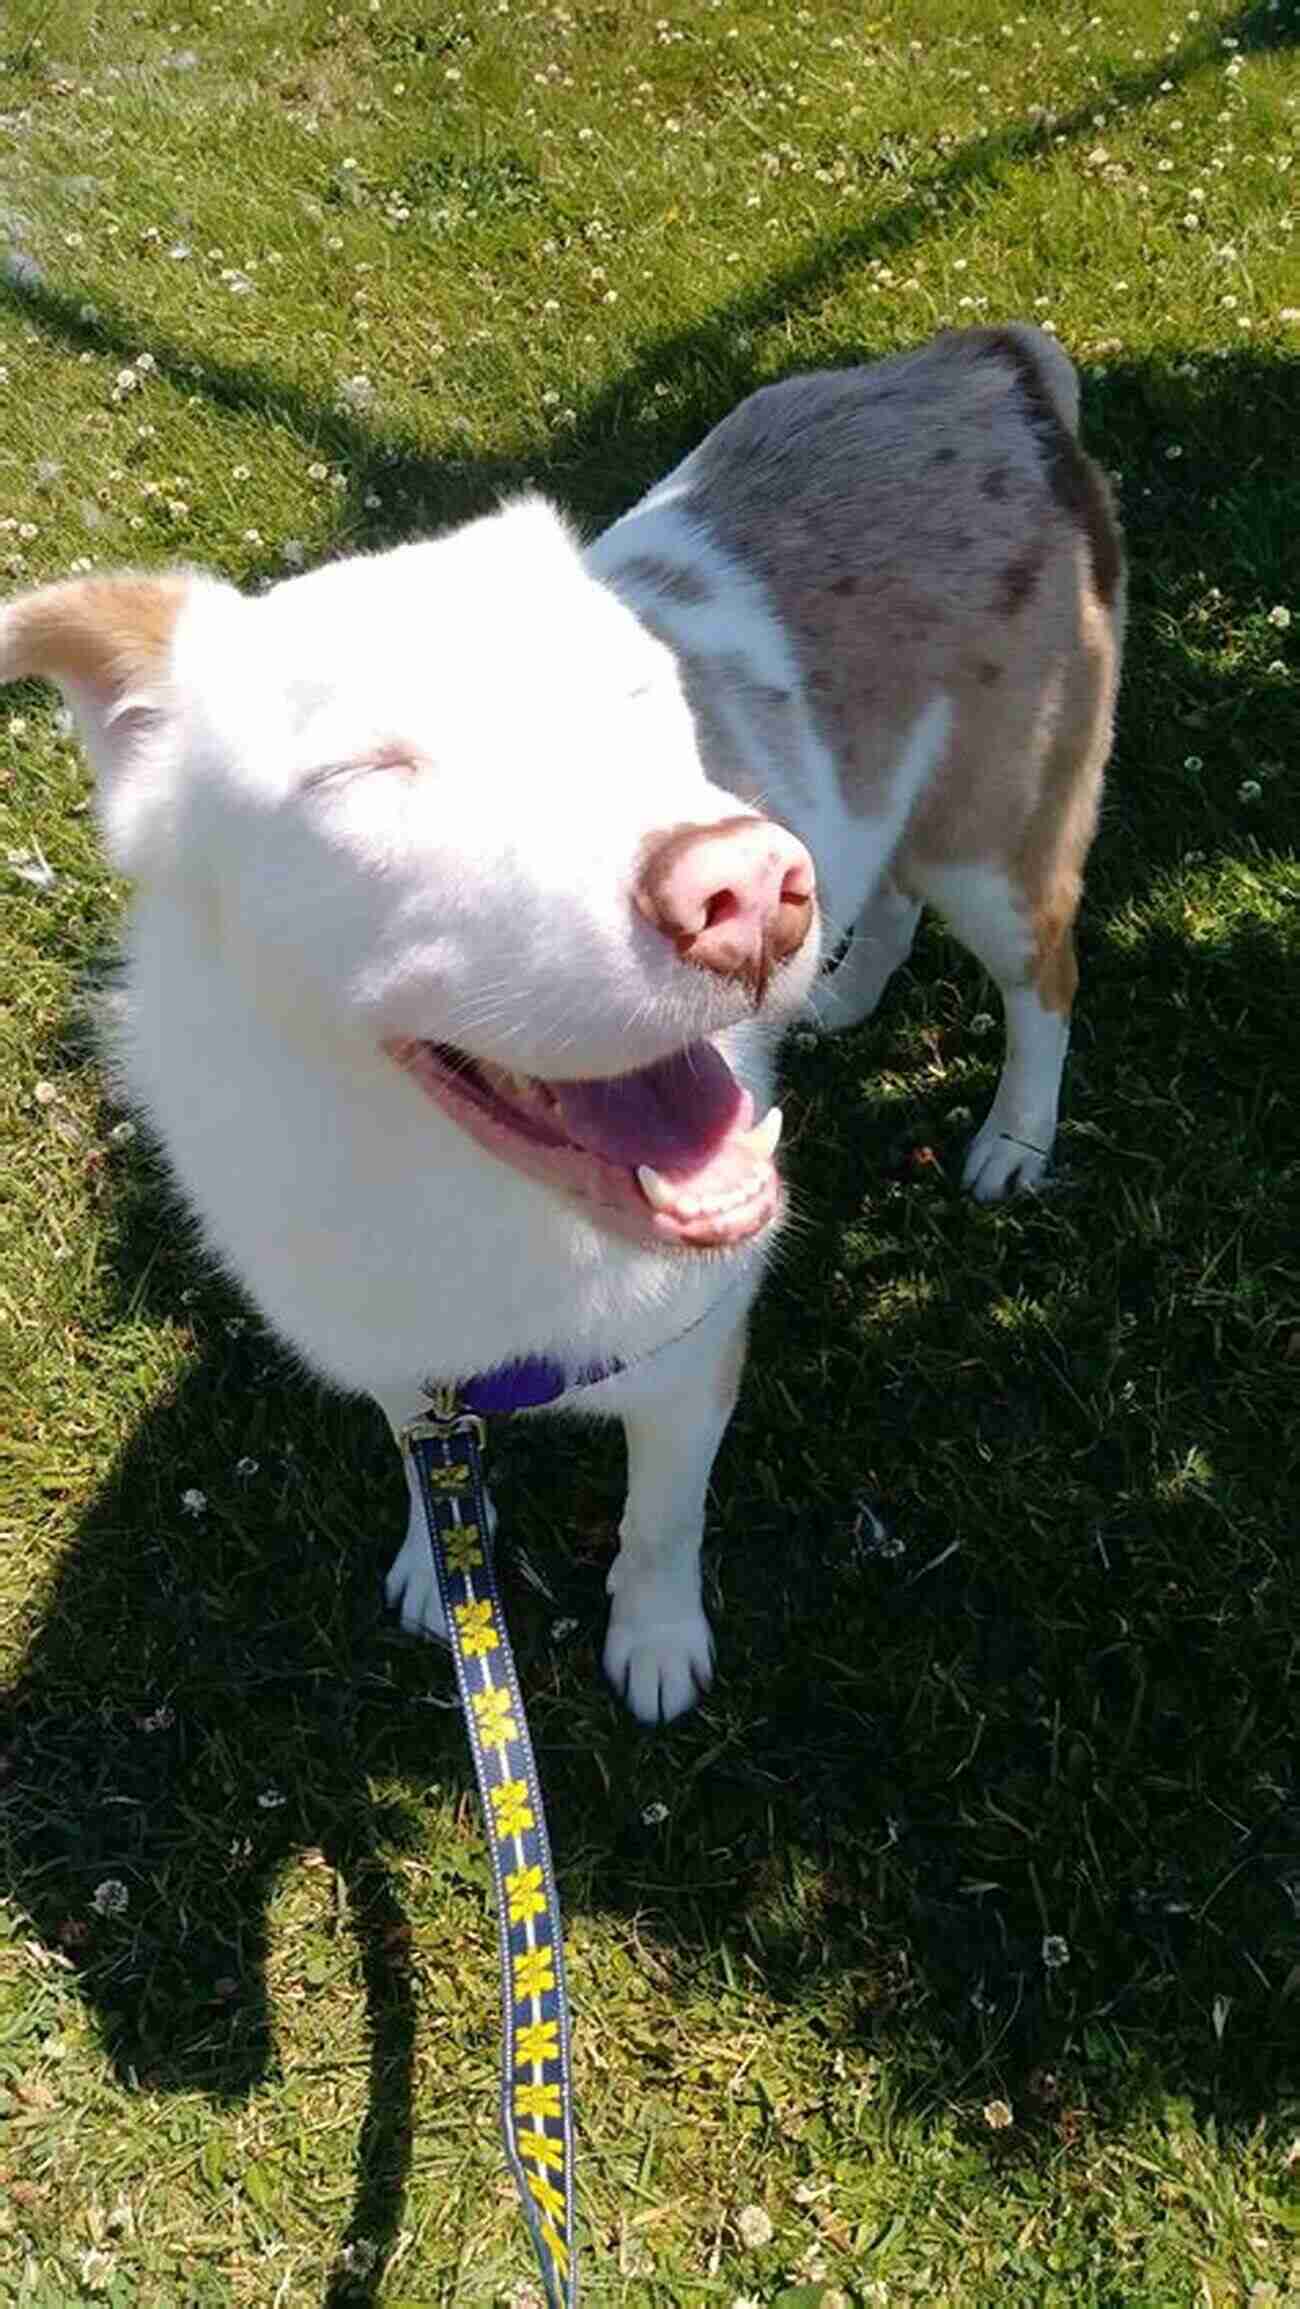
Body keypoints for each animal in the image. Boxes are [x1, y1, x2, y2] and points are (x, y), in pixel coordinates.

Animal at [2, 320, 1117, 1717]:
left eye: (641, 695)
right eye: (367, 772)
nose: (751, 895)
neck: (443, 1192)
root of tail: (979, 363)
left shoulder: (691, 1359)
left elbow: (658, 1523)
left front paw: (654, 1639)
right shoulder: (397, 1355)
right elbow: (426, 1471)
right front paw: (438, 1565)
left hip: (1000, 839)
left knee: (1043, 985)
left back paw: (1013, 1138)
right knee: (894, 884)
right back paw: (852, 983)